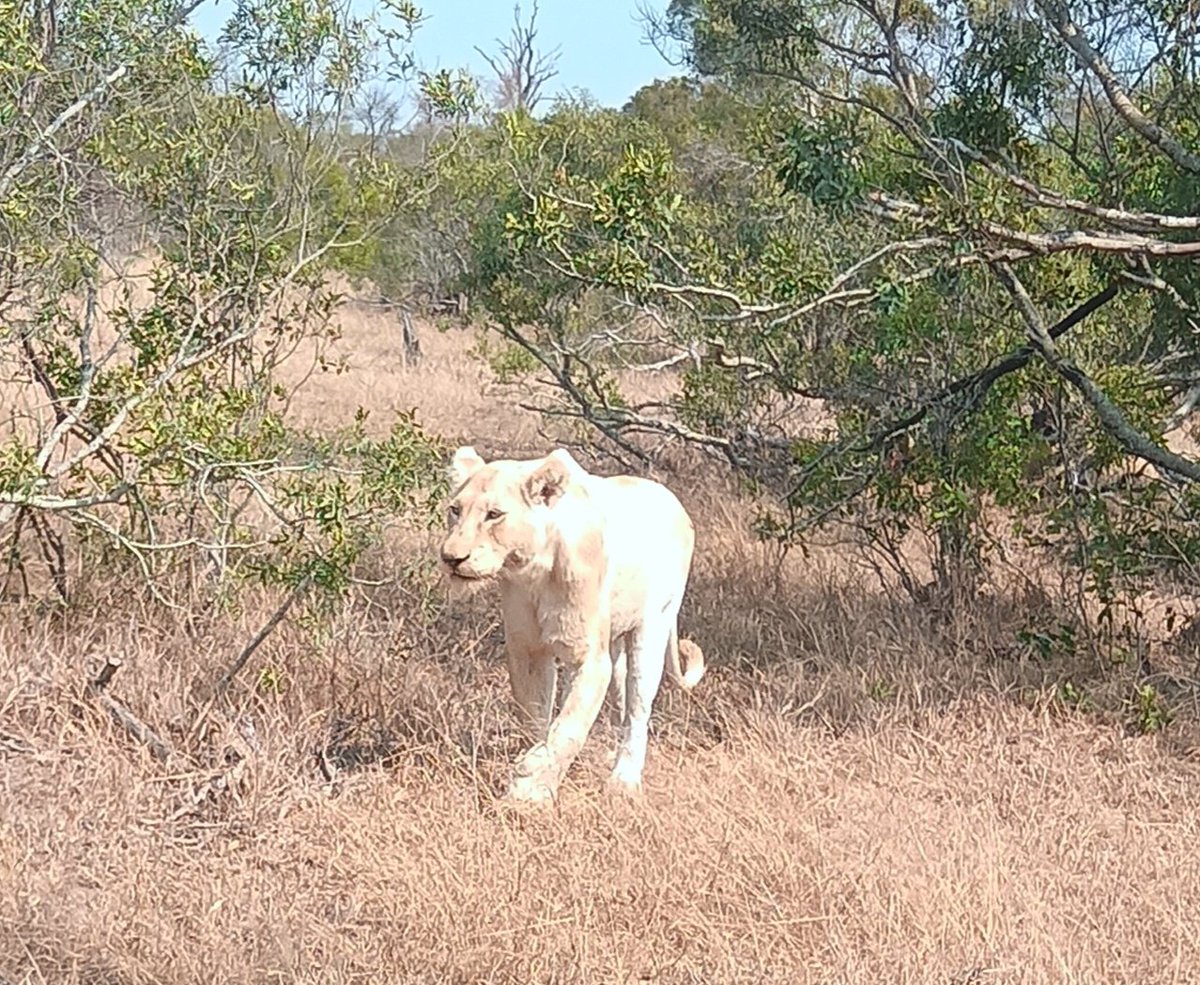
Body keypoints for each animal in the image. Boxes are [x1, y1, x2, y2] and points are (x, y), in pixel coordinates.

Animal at [439, 445, 706, 803]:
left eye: (494, 514)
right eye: (455, 510)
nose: (451, 558)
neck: (534, 572)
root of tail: (673, 500)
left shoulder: (590, 658)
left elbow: (568, 727)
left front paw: (530, 782)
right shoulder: (528, 650)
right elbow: (535, 716)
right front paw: (532, 776)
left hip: (653, 626)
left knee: (638, 707)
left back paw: (624, 778)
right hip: (616, 645)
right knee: (618, 700)